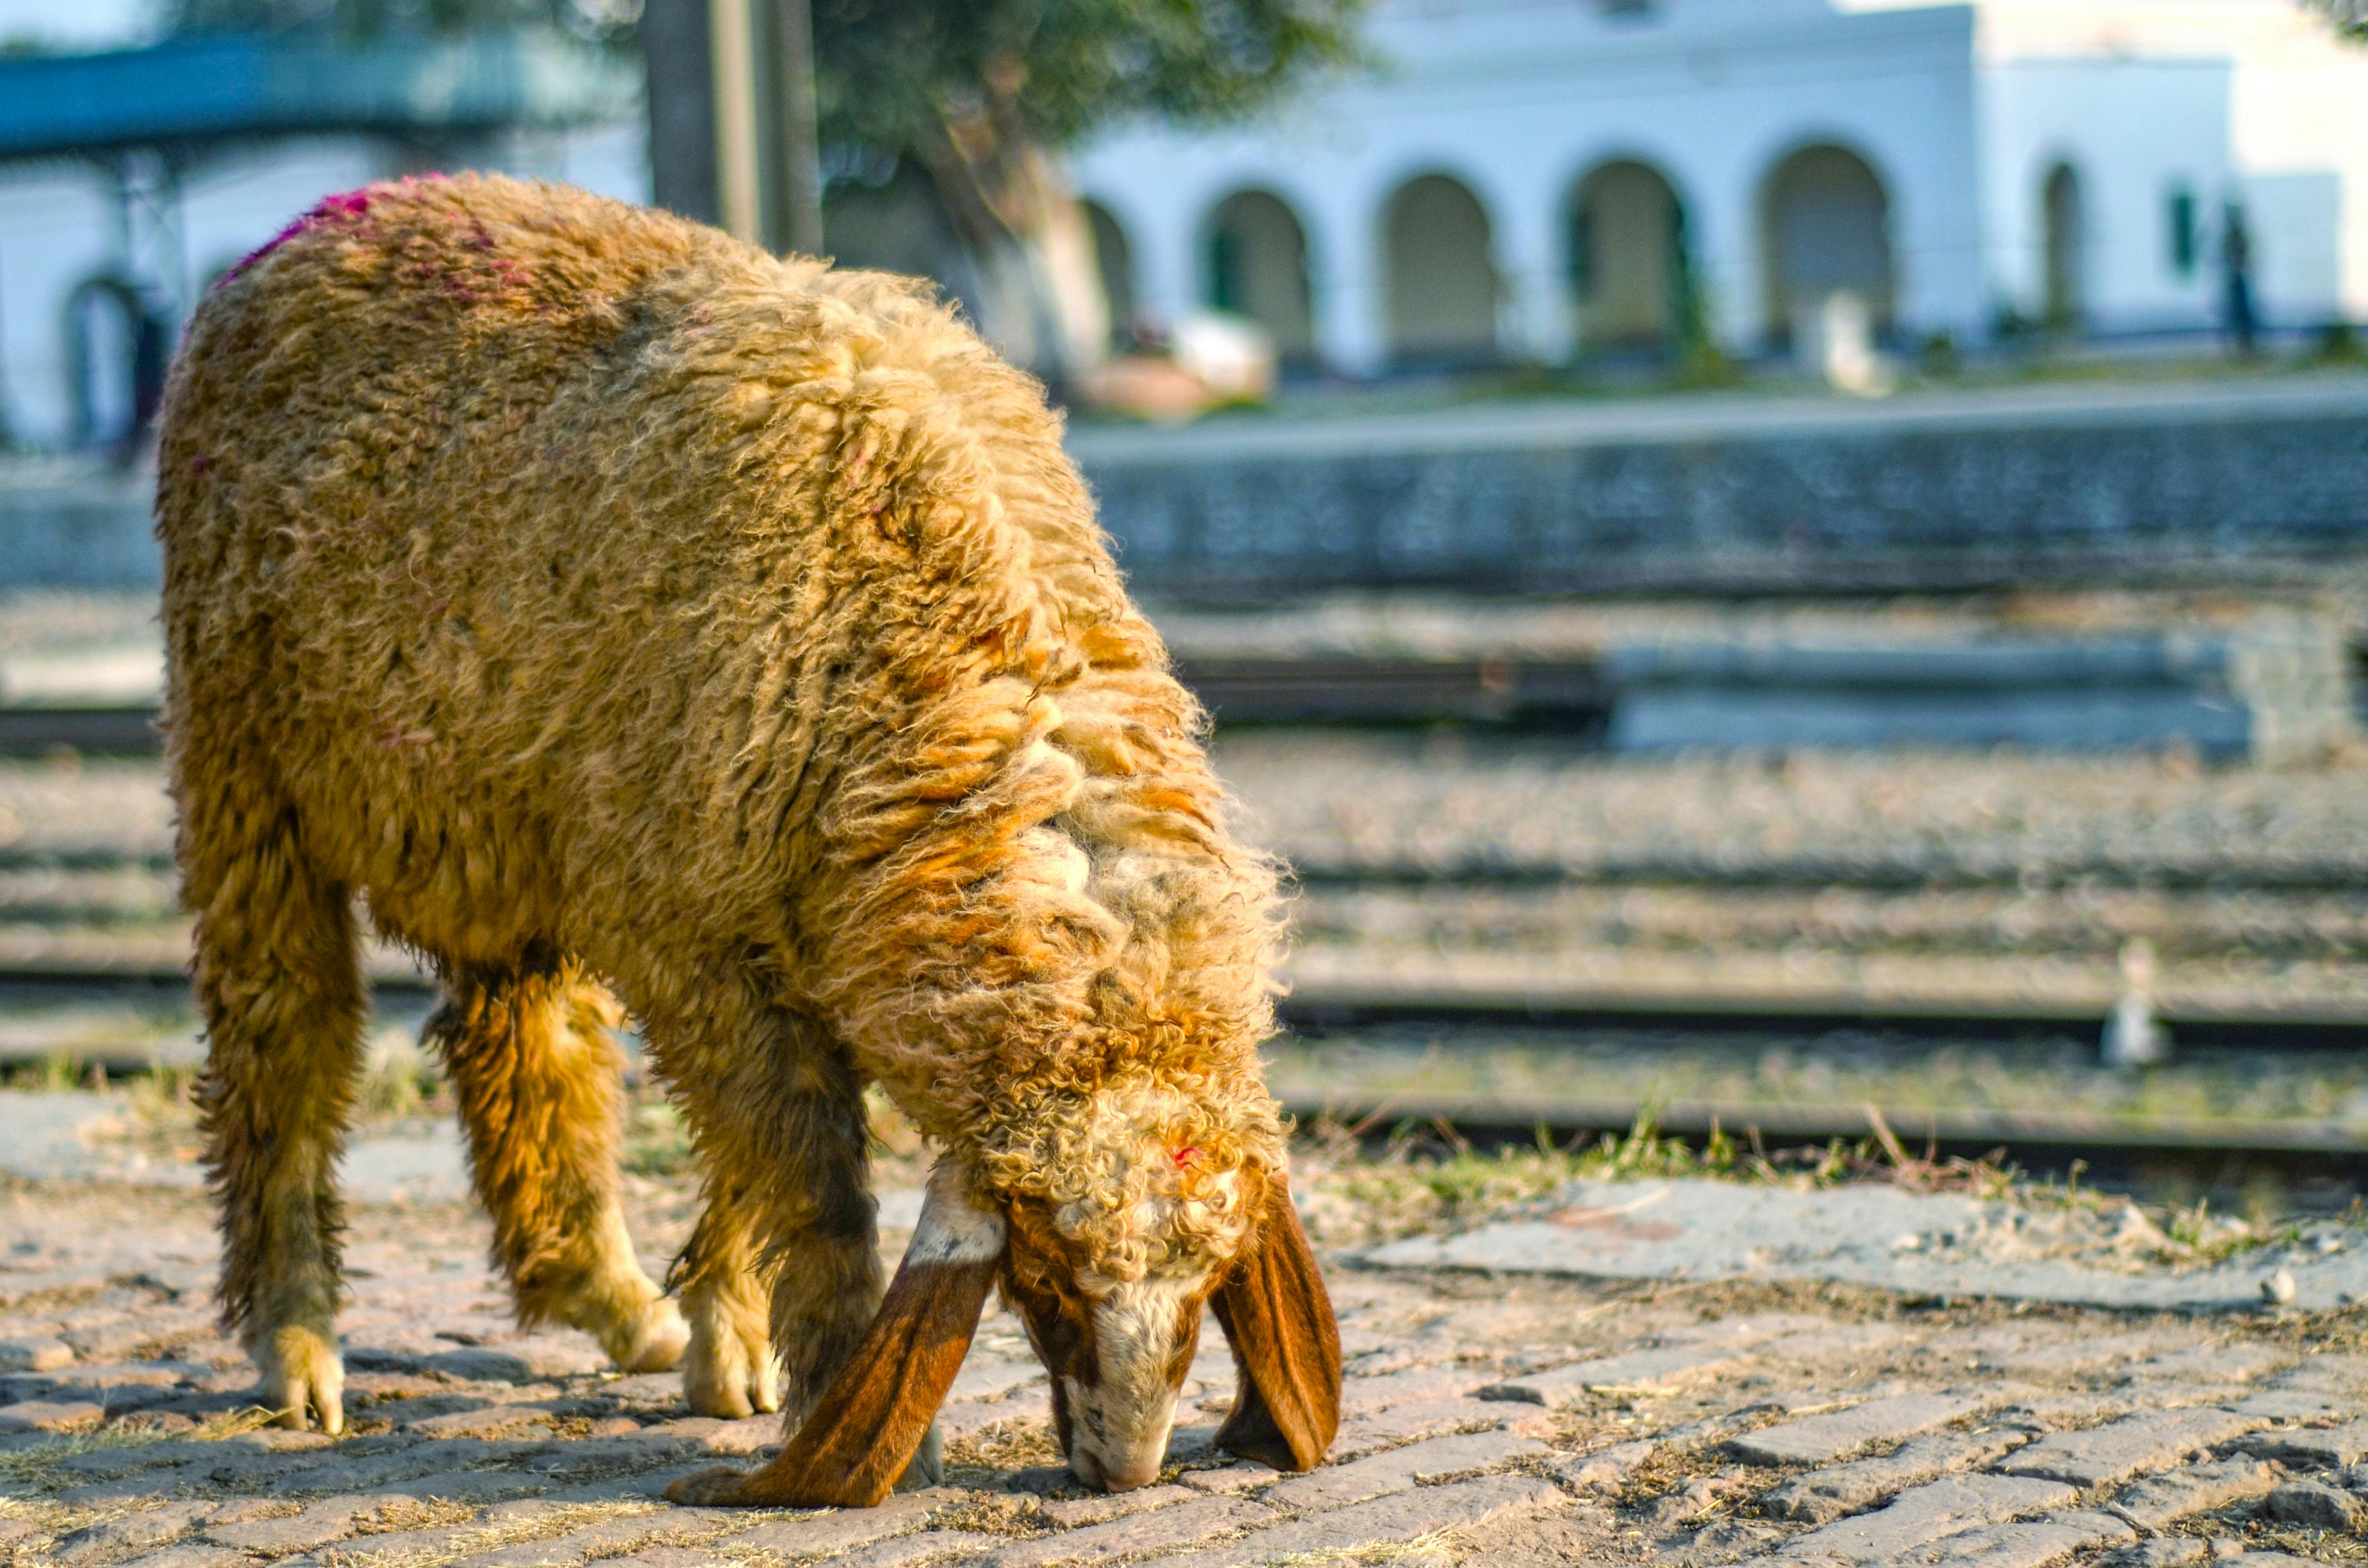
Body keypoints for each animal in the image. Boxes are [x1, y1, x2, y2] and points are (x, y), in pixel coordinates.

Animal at [157, 172, 1340, 1507]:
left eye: (1212, 1285)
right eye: (1037, 1268)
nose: (1122, 1469)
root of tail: (326, 216)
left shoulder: (754, 924)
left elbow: (741, 1168)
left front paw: (733, 1348)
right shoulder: (699, 938)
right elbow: (809, 1186)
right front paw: (833, 1381)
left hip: (513, 814)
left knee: (525, 1040)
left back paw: (613, 1304)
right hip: (243, 765)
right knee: (282, 1038)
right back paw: (299, 1352)